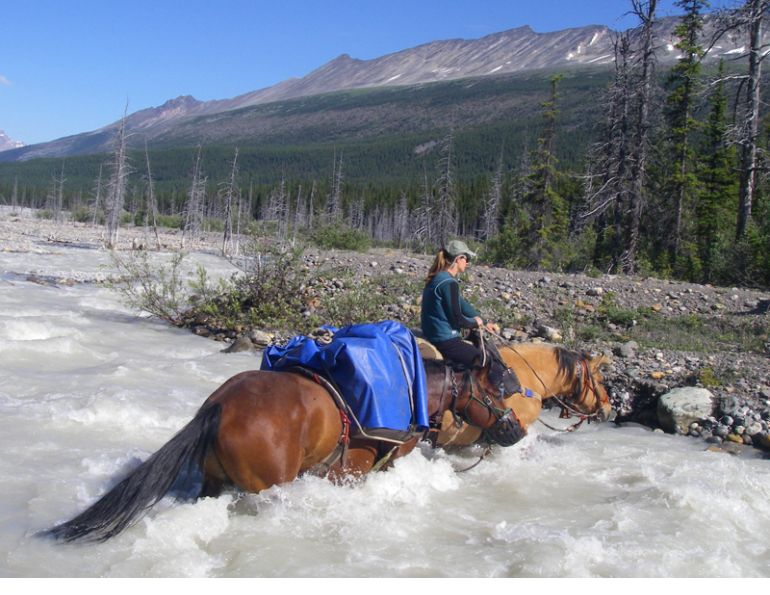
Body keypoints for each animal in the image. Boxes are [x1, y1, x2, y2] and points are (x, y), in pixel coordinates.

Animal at [40, 356, 524, 543]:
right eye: (496, 390)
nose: (516, 430)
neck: (412, 389)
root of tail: (218, 405)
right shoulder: (353, 472)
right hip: (270, 485)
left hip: (213, 483)